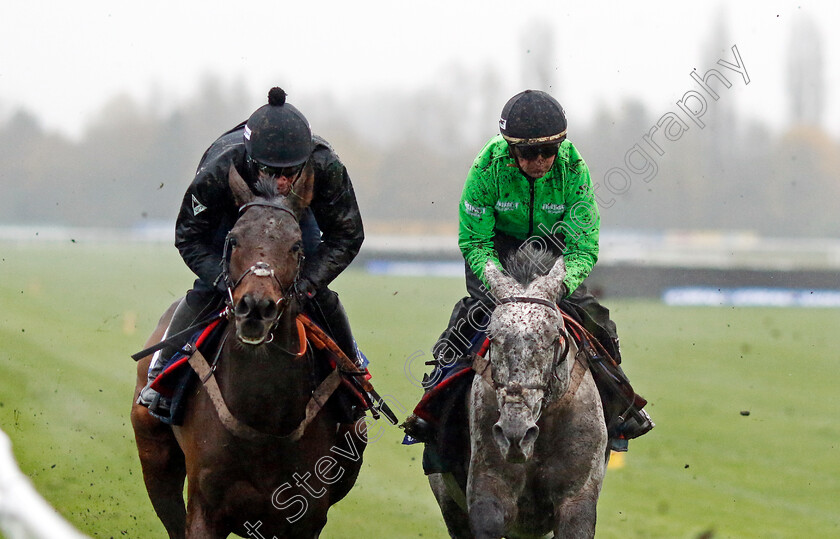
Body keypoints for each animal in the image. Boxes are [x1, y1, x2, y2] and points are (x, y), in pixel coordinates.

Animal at [130, 165, 364, 539]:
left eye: (296, 245)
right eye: (235, 239)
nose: (256, 307)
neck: (265, 417)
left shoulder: (305, 517)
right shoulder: (206, 509)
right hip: (156, 456)